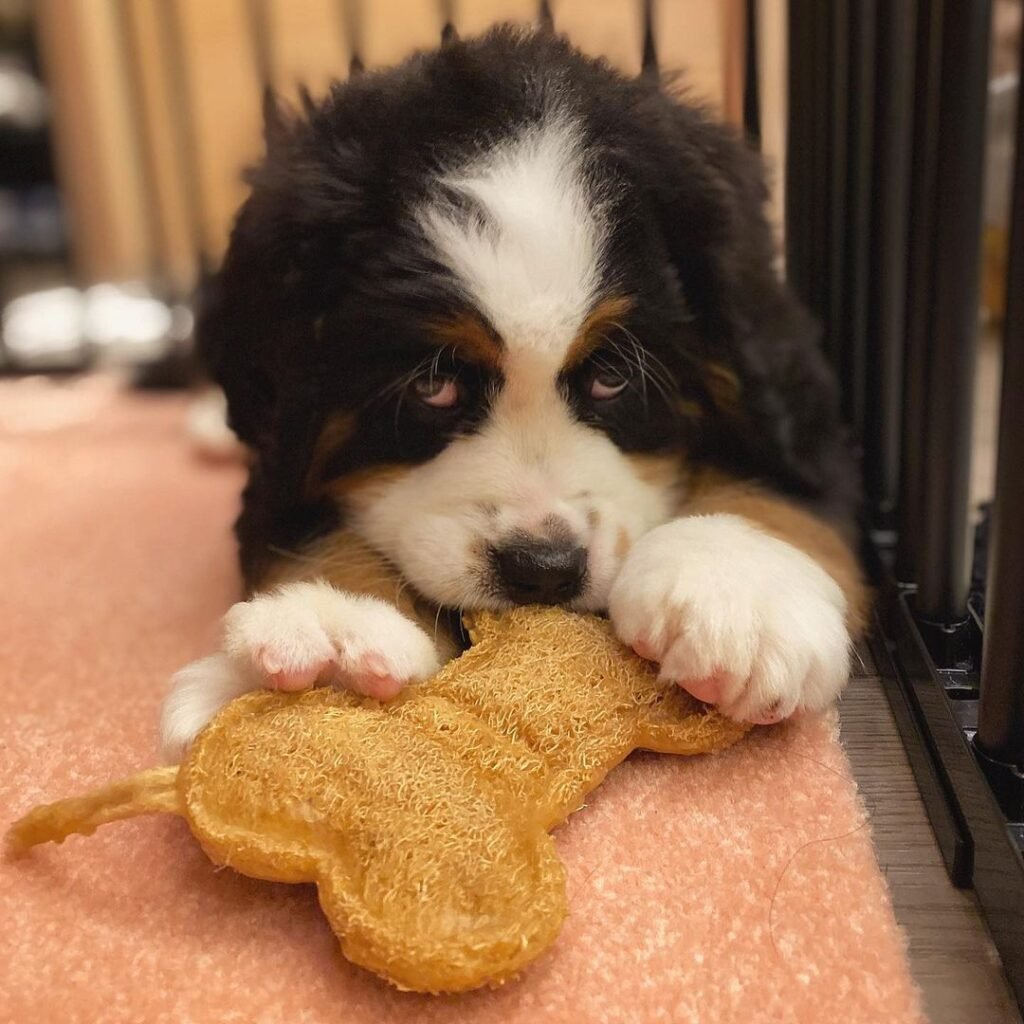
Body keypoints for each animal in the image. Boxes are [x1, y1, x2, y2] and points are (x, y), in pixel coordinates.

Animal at [159, 24, 864, 761]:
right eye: (434, 386)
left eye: (613, 376)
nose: (543, 570)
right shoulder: (281, 430)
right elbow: (299, 519)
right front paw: (334, 629)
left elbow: (779, 482)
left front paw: (737, 591)